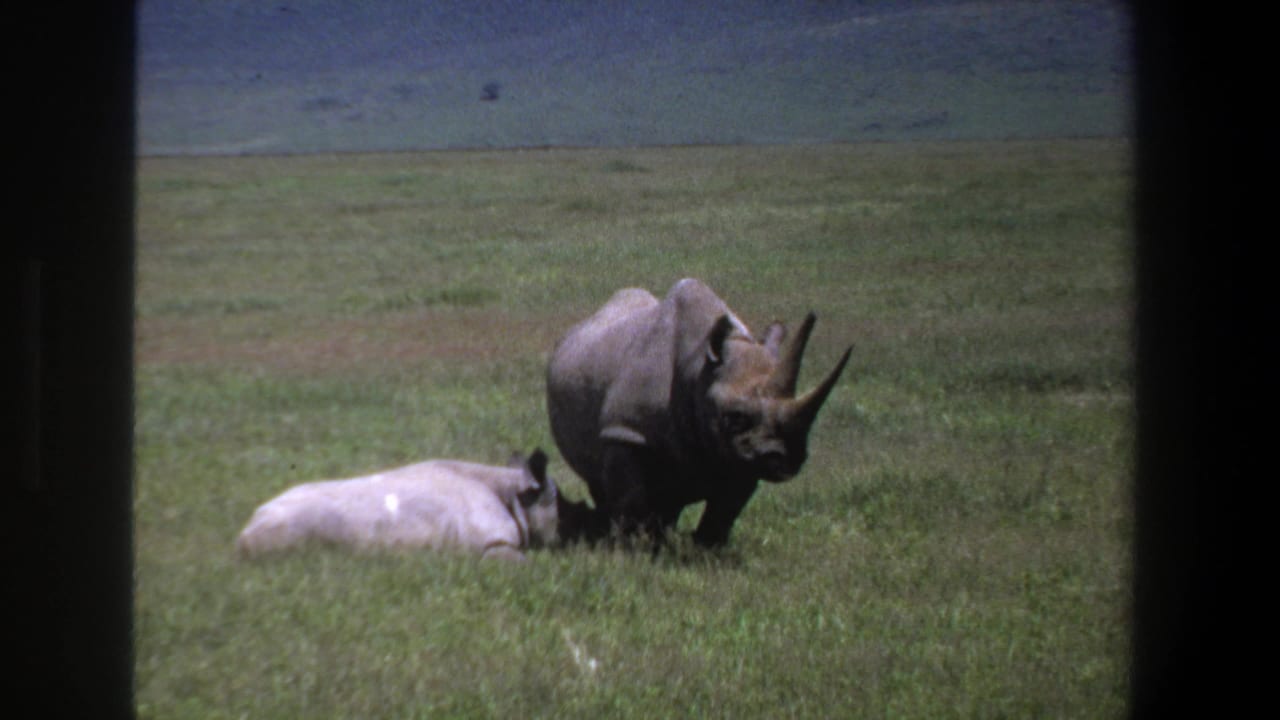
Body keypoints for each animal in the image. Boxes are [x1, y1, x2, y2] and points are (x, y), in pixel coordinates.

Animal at [547, 278, 852, 548]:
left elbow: (725, 510)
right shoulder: (625, 432)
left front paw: (709, 553)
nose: (782, 457)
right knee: (602, 481)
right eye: (735, 417)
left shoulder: (741, 455)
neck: (698, 369)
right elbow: (631, 498)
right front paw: (633, 550)